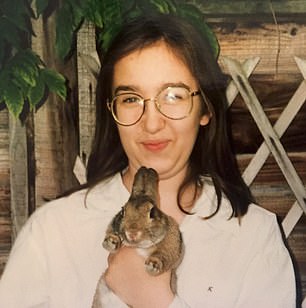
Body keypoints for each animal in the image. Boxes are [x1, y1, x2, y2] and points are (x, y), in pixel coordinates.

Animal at [91, 167, 184, 306]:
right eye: (122, 211)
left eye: (152, 212)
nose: (132, 233)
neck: (140, 246)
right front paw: (111, 242)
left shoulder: (172, 242)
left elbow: (164, 253)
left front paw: (153, 265)